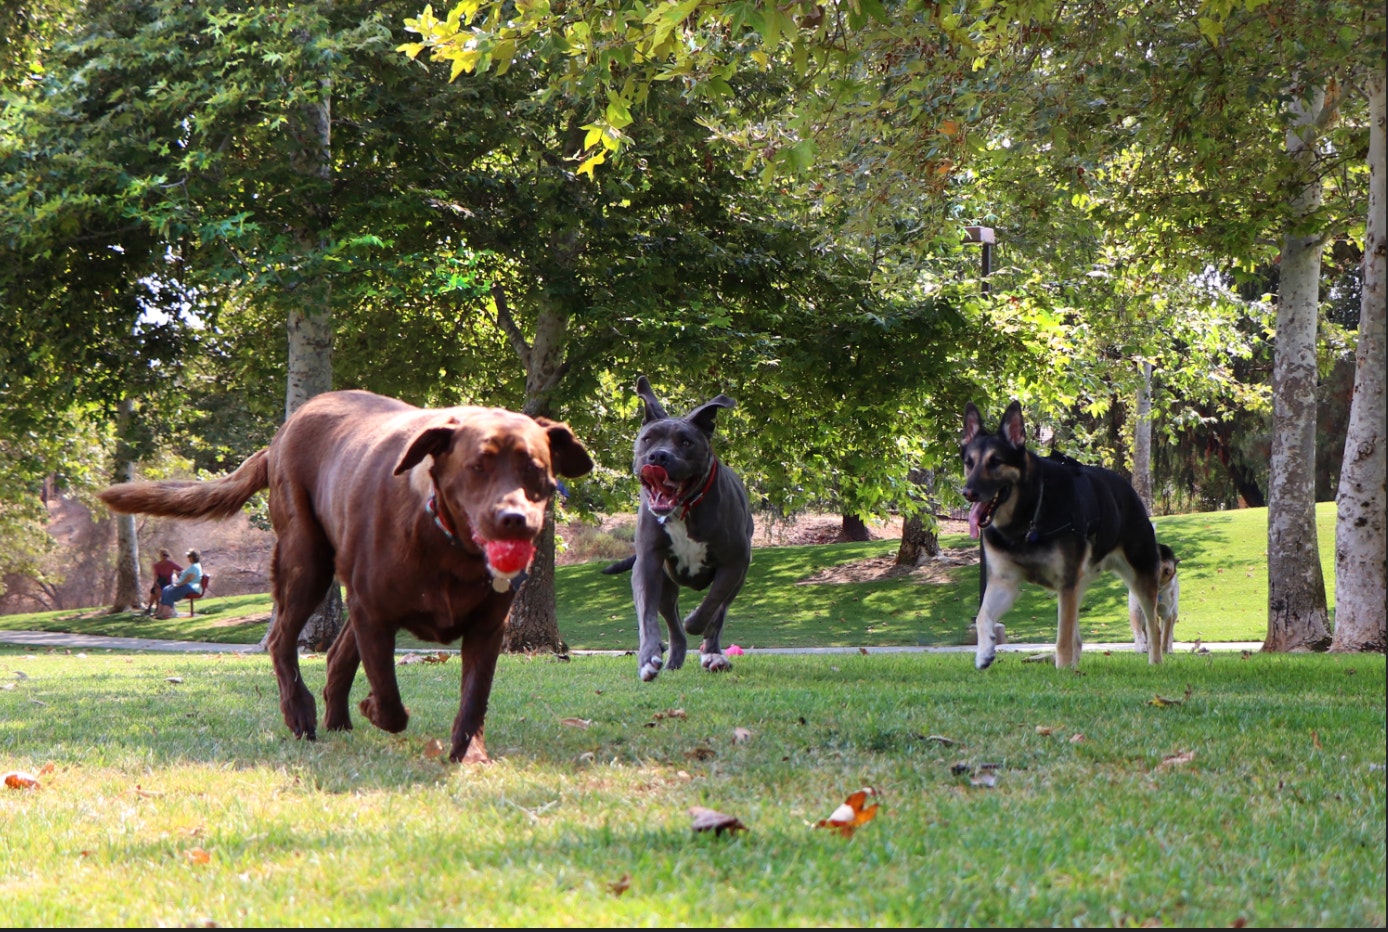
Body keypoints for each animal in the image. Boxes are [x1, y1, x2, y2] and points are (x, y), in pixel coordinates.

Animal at [99, 388, 591, 761]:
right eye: (477, 466)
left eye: (536, 470)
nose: (516, 520)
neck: (446, 543)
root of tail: (281, 434)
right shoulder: (373, 612)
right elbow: (389, 700)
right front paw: (373, 708)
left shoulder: (488, 626)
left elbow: (474, 700)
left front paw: (469, 754)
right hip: (306, 560)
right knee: (281, 639)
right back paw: (301, 713)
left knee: (336, 655)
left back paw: (336, 721)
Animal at [602, 375, 755, 680]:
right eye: (647, 439)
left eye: (686, 442)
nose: (658, 457)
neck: (685, 508)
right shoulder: (648, 562)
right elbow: (647, 614)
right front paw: (647, 658)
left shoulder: (735, 562)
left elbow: (713, 603)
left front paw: (697, 623)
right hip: (666, 583)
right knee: (672, 624)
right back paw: (673, 659)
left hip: (739, 576)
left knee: (719, 611)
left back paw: (713, 654)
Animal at [960, 400, 1165, 672]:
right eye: (969, 463)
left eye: (995, 462)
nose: (967, 492)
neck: (1028, 515)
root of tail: (1127, 488)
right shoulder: (1005, 583)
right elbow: (983, 616)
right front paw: (984, 652)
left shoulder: (1066, 584)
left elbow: (1062, 638)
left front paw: (1062, 670)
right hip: (1079, 587)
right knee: (1078, 637)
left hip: (1139, 579)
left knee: (1154, 626)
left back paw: (1155, 663)